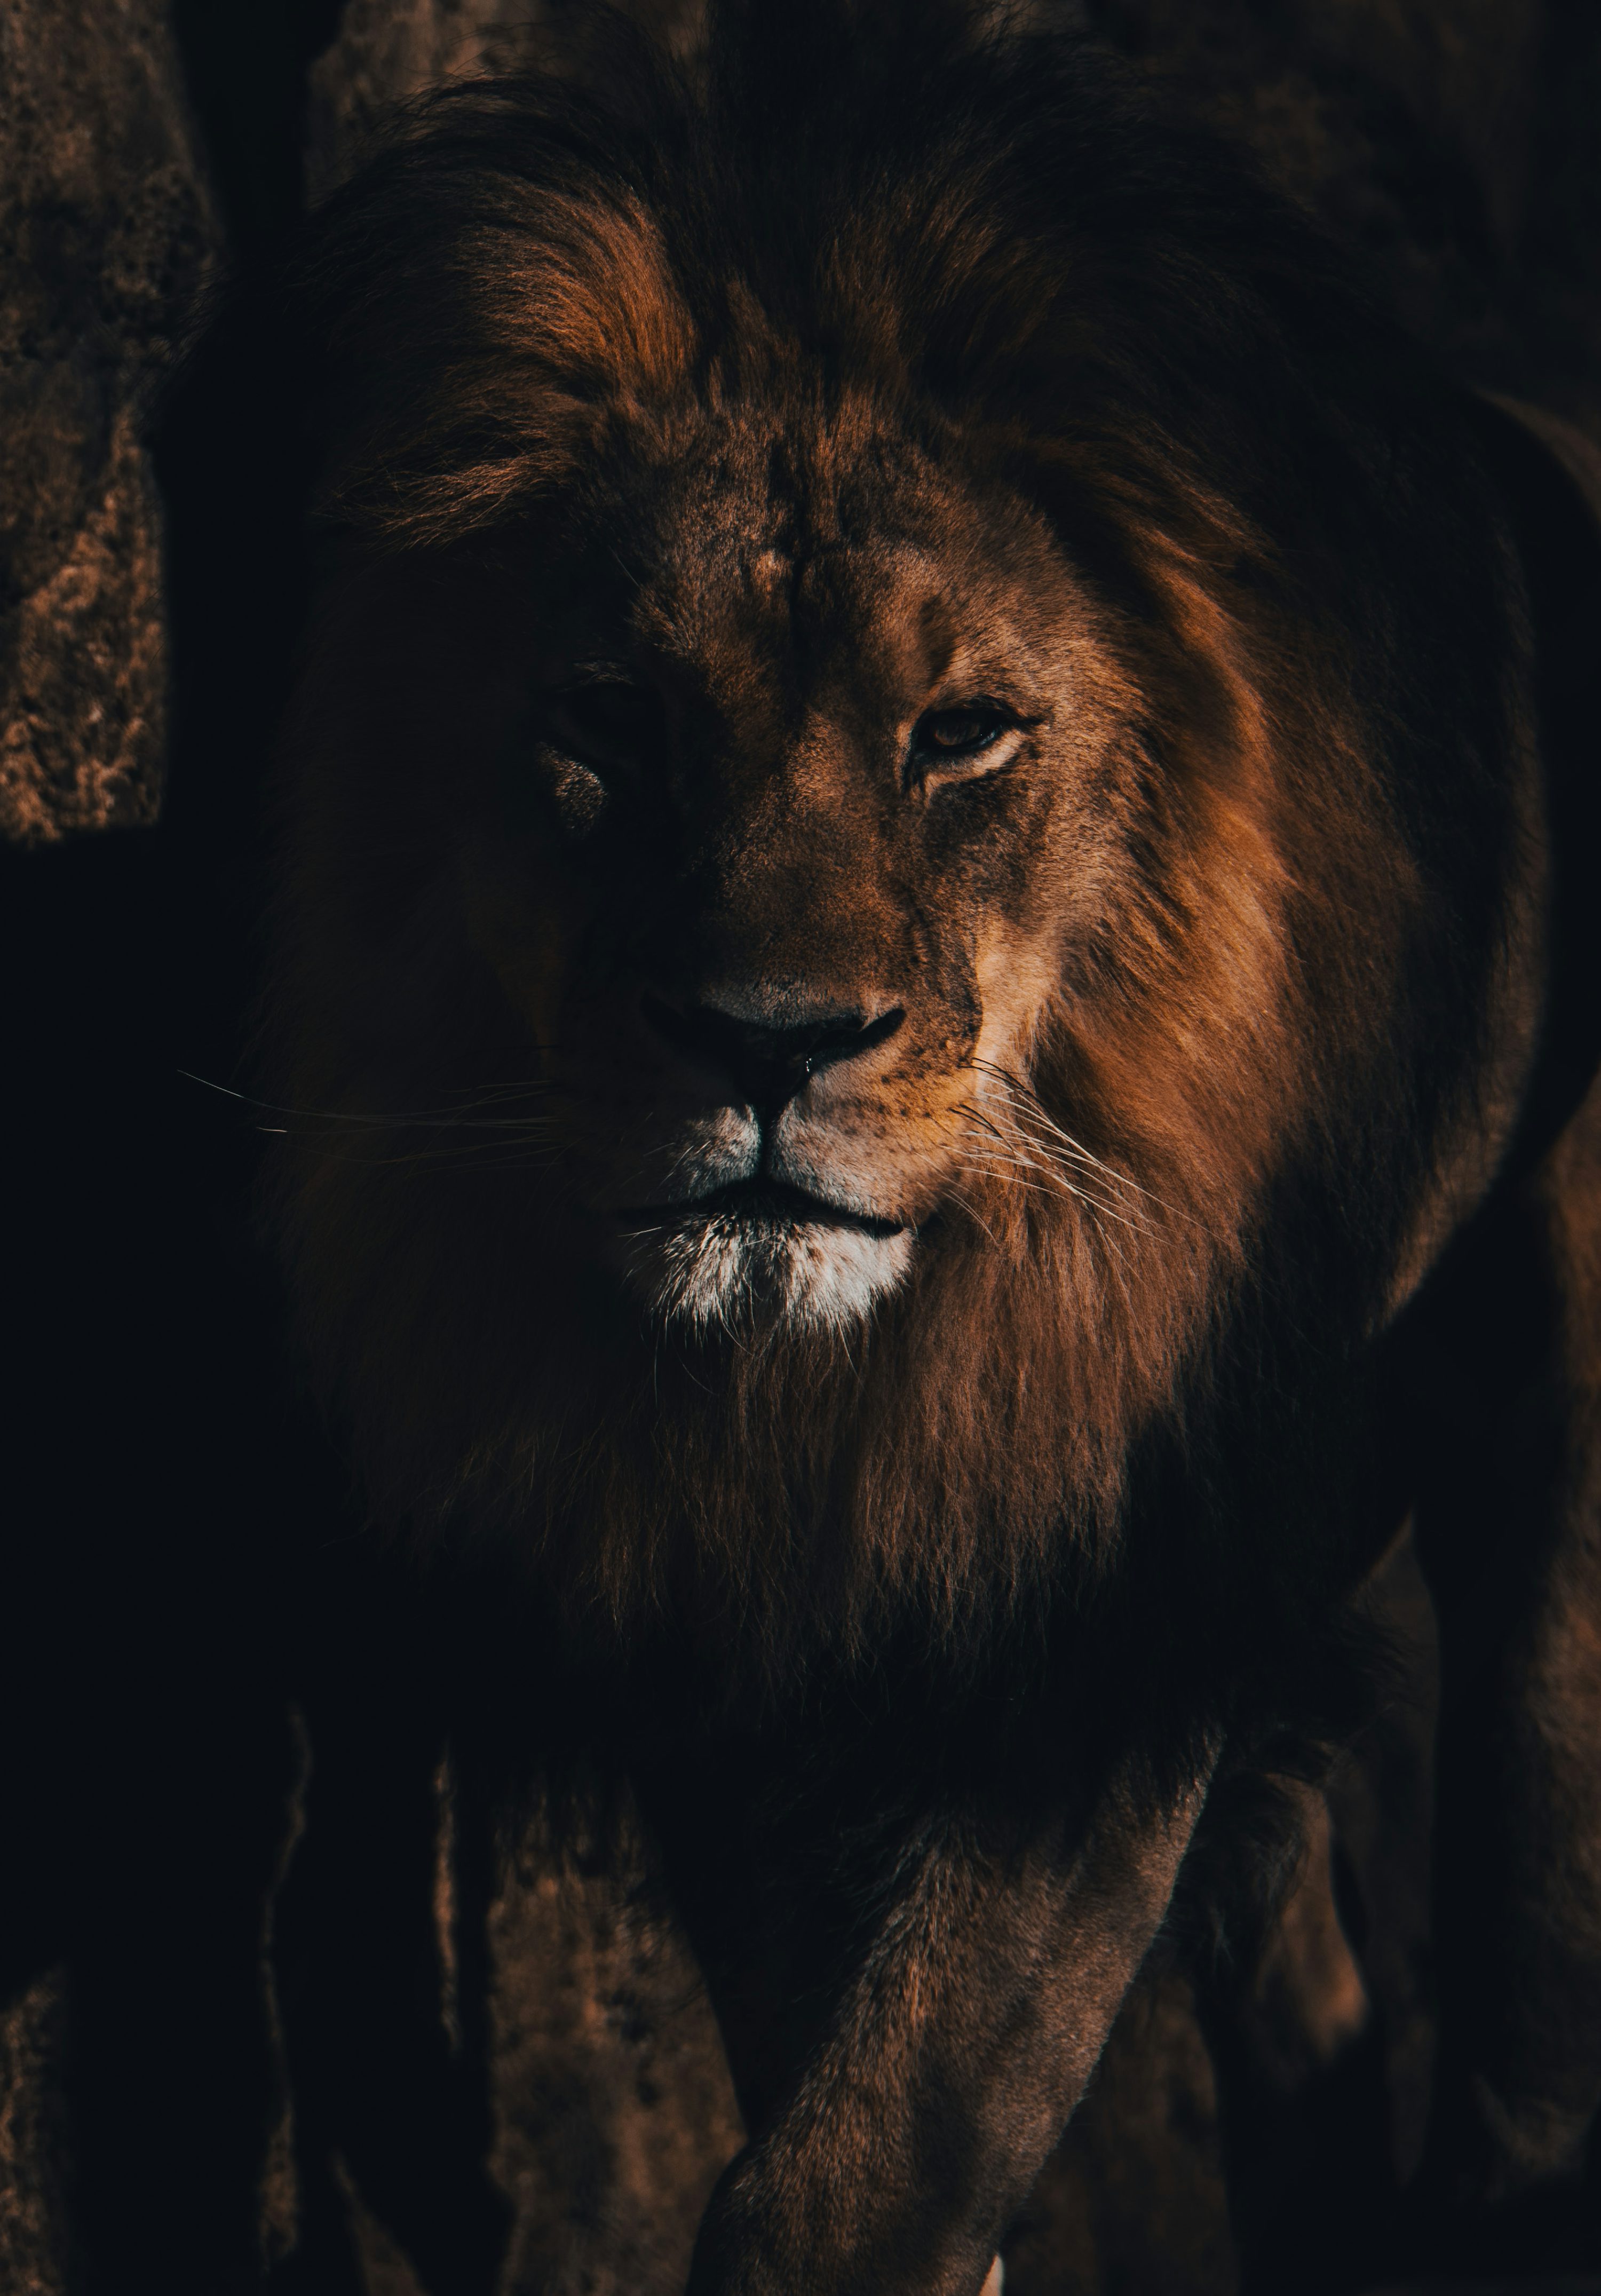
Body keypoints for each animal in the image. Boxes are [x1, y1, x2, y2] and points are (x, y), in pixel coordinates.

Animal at [250, 1, 1601, 2284]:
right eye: (608, 722)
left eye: (960, 733)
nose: (765, 1040)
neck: (849, 1376)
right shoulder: (753, 1655)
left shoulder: (1098, 1618)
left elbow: (872, 2158)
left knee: (1525, 2010)